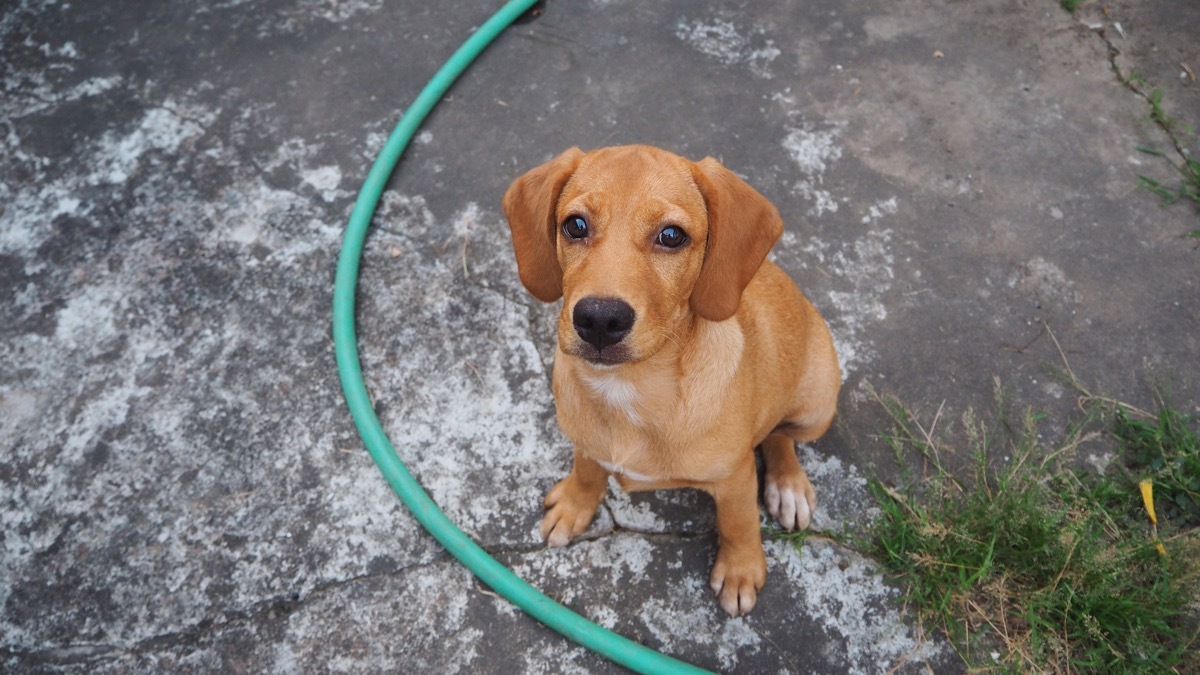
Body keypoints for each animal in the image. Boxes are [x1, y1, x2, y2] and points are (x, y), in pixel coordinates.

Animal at [501, 144, 840, 612]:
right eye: (575, 225)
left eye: (672, 235)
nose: (600, 320)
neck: (629, 387)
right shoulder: (585, 440)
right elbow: (587, 469)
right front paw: (574, 504)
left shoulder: (735, 479)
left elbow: (739, 523)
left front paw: (740, 570)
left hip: (816, 408)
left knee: (779, 434)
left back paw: (787, 485)